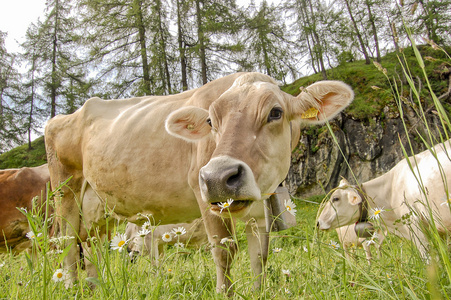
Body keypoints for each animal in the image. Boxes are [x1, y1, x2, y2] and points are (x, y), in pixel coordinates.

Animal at [44, 71, 354, 292]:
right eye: (210, 122)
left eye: (275, 112)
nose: (218, 177)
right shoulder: (205, 196)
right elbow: (224, 252)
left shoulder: (259, 212)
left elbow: (259, 259)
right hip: (65, 189)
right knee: (67, 242)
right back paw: (71, 288)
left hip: (98, 208)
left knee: (90, 246)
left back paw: (95, 288)